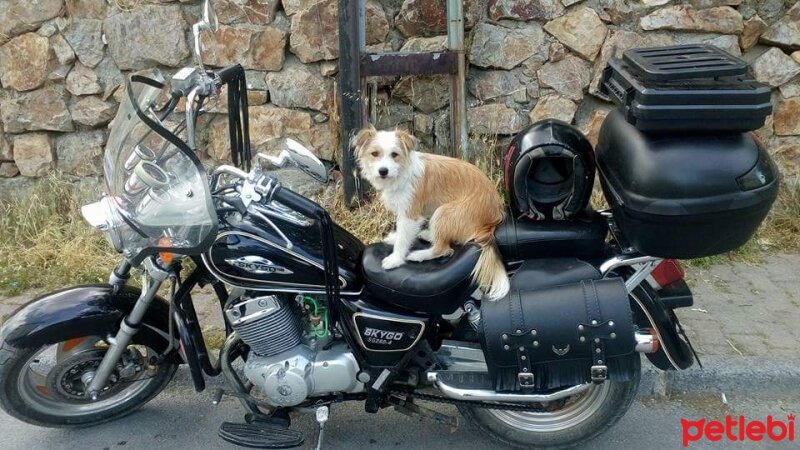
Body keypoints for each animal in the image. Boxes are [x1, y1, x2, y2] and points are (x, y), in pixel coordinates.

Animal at [356, 125, 512, 300]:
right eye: (374, 153)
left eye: (394, 154)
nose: (383, 171)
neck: (401, 172)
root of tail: (491, 222)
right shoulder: (404, 212)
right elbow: (402, 233)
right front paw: (394, 238)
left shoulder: (410, 214)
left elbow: (403, 239)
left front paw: (396, 259)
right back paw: (428, 235)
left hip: (444, 212)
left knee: (443, 248)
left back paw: (419, 255)